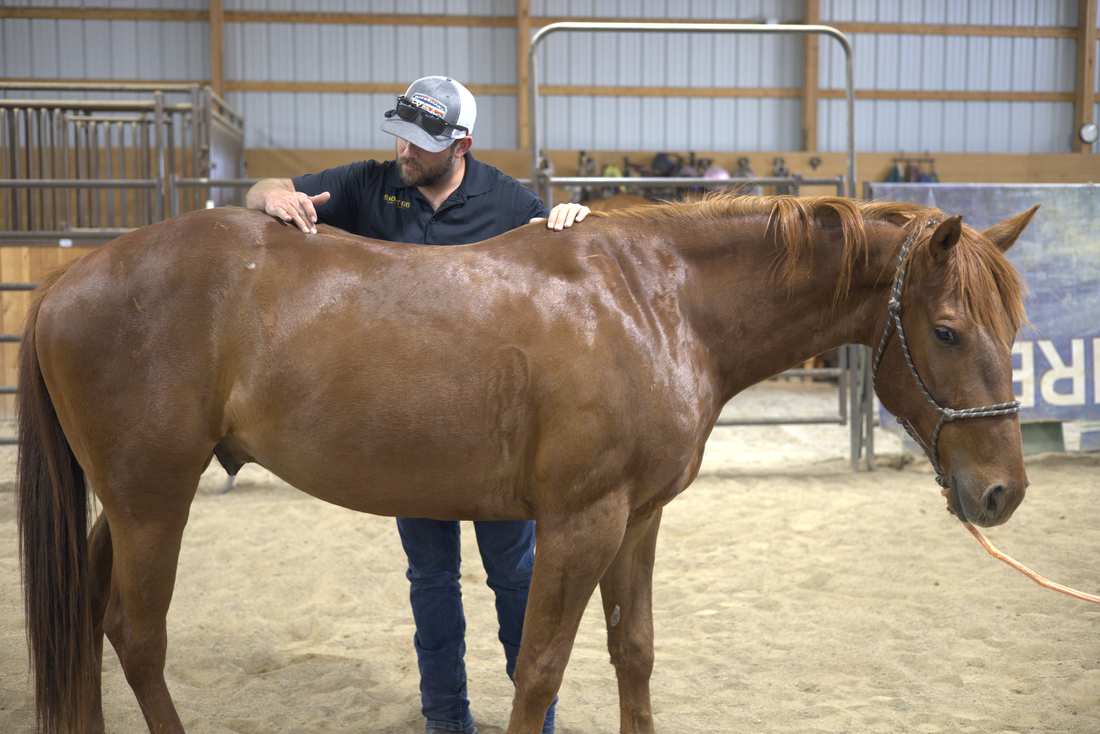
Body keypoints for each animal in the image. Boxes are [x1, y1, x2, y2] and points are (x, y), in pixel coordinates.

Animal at [17, 194, 1036, 734]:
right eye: (948, 330)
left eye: (1015, 326)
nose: (1002, 493)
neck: (654, 301)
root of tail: (67, 281)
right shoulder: (580, 521)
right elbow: (539, 664)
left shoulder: (639, 519)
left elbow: (634, 650)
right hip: (155, 503)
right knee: (137, 635)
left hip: (127, 504)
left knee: (95, 620)